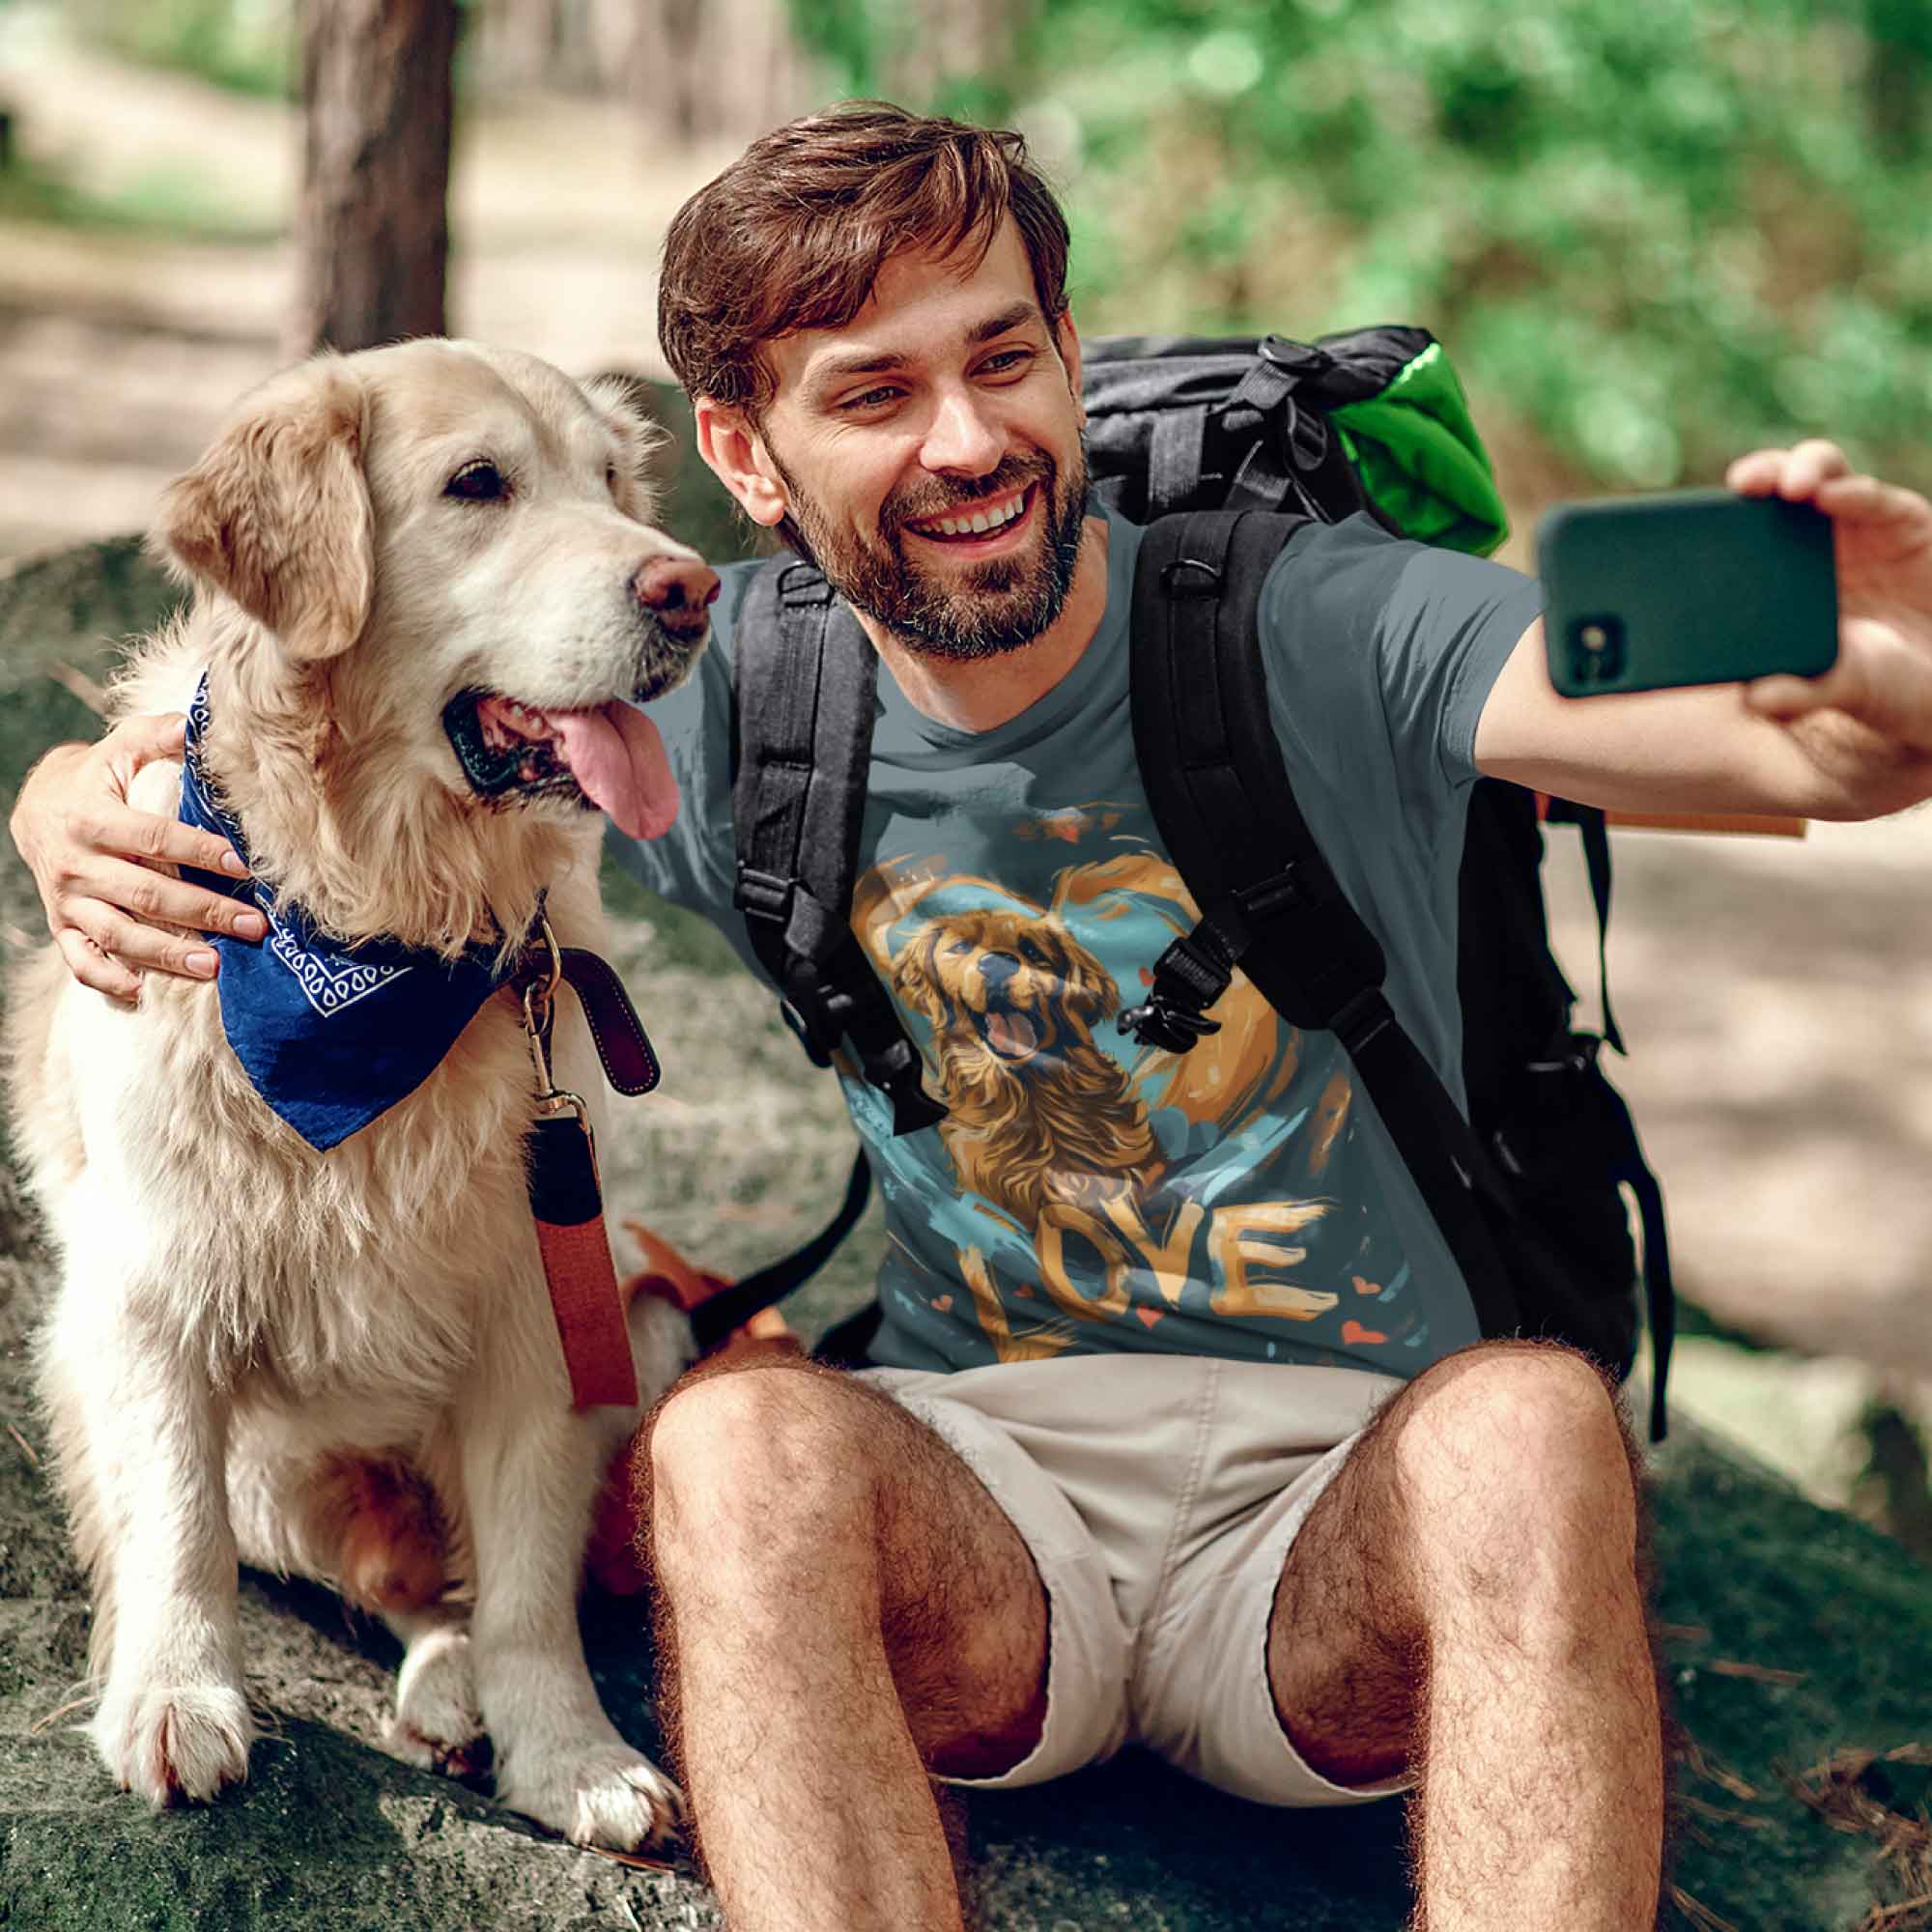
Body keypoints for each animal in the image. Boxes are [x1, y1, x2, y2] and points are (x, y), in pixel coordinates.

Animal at [1, 340, 711, 1847]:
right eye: (479, 484)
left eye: (610, 481)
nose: (689, 587)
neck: (383, 923)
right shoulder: (147, 1294)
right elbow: (174, 1527)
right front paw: (174, 1698)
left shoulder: (541, 1303)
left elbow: (526, 1585)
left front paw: (568, 1754)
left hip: (644, 1310)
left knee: (449, 1583)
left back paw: (456, 1693)